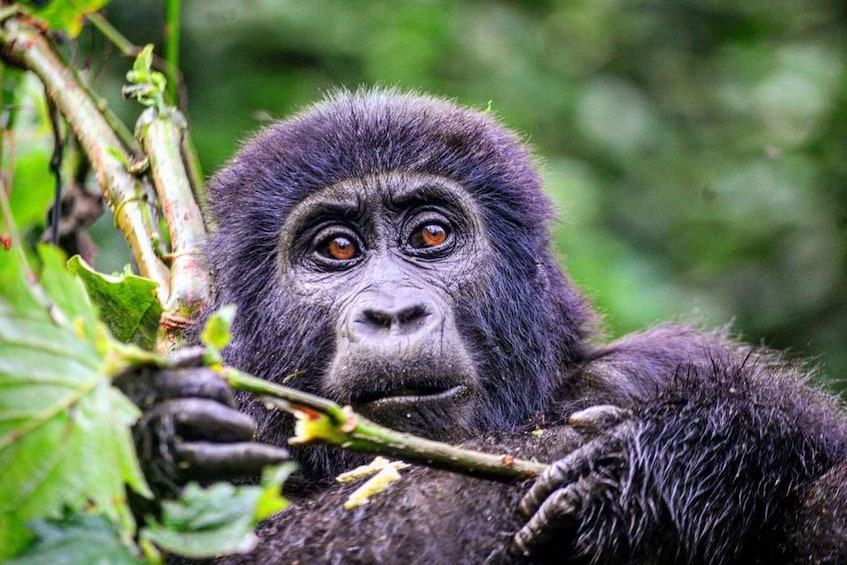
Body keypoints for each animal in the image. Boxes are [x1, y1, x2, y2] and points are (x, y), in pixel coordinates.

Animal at [131, 90, 847, 560]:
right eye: (336, 248)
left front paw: (659, 457)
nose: (393, 313)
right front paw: (165, 429)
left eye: (432, 234)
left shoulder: (665, 360)